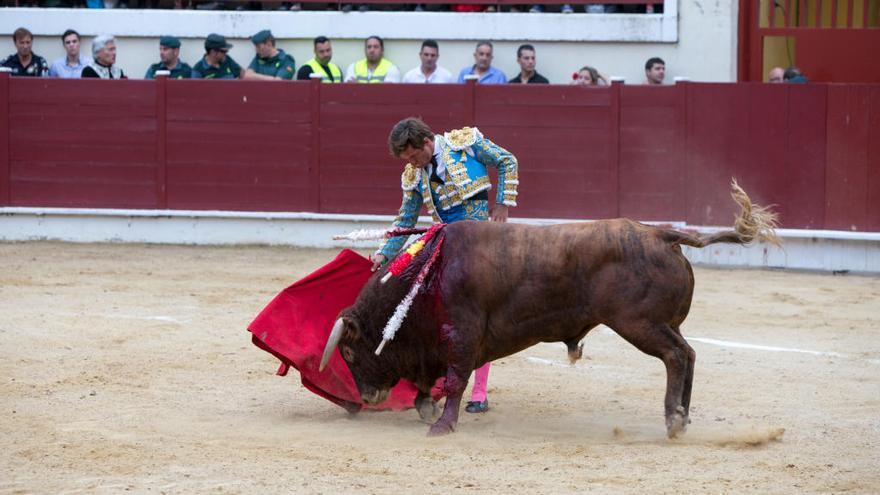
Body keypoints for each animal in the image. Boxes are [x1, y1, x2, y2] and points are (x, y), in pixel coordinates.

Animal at [318, 182, 776, 438]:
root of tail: (663, 235)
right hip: (663, 323)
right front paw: (425, 407)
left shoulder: (462, 334)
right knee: (690, 353)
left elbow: (456, 379)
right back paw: (683, 416)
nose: (366, 397)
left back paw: (673, 420)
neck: (426, 278)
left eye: (350, 351)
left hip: (639, 323)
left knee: (677, 356)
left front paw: (441, 426)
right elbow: (439, 381)